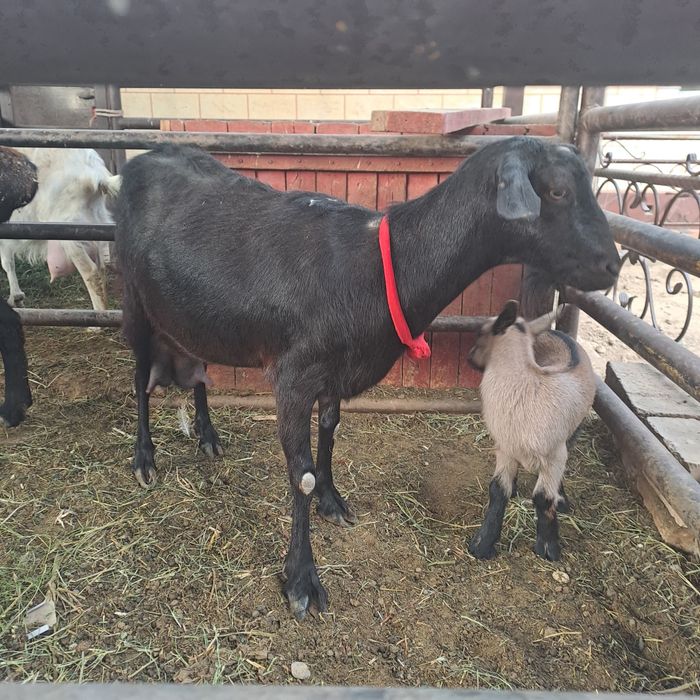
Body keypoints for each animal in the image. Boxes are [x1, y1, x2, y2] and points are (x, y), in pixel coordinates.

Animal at [1, 148, 117, 310]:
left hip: (71, 232)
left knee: (91, 273)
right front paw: (16, 297)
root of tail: (95, 174)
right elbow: (8, 261)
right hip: (96, 226)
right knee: (101, 269)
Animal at [467, 299, 596, 561]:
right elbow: (498, 490)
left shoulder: (555, 456)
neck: (524, 385)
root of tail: (556, 332)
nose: (469, 358)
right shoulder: (505, 448)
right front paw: (482, 544)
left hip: (572, 433)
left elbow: (543, 498)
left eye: (480, 333)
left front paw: (548, 548)